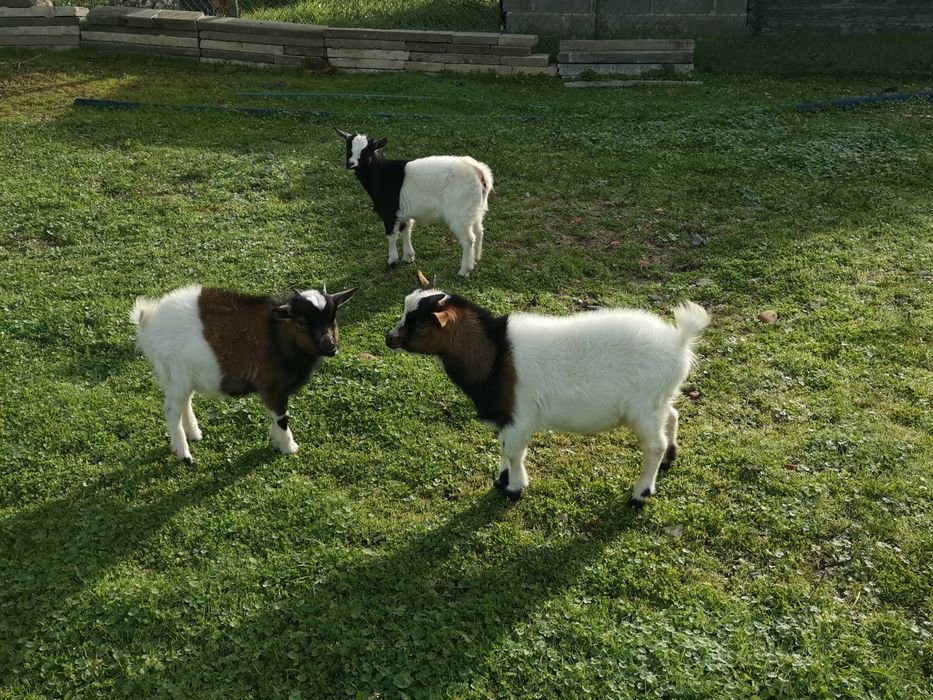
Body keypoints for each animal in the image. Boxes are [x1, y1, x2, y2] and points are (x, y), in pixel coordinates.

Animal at [130, 284, 357, 464]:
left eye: (333, 317)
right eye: (301, 322)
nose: (330, 346)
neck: (277, 338)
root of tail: (147, 322)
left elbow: (275, 417)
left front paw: (276, 441)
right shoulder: (271, 386)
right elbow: (282, 417)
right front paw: (289, 448)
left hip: (181, 378)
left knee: (185, 403)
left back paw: (194, 434)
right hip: (176, 375)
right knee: (171, 410)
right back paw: (185, 455)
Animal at [335, 128, 493, 277]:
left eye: (367, 151)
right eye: (348, 147)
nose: (351, 164)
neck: (381, 174)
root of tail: (478, 171)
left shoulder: (389, 212)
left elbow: (391, 235)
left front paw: (392, 261)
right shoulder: (403, 212)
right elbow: (405, 230)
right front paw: (408, 257)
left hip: (460, 212)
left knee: (468, 239)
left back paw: (464, 271)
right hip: (475, 209)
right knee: (479, 231)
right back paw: (476, 259)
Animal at [386, 271, 708, 505]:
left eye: (421, 324)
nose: (389, 338)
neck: (495, 355)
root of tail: (680, 343)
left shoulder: (519, 416)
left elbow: (515, 451)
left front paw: (514, 488)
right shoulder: (505, 416)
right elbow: (504, 448)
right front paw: (502, 478)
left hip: (643, 407)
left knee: (654, 445)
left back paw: (640, 493)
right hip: (658, 400)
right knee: (672, 416)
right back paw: (670, 458)